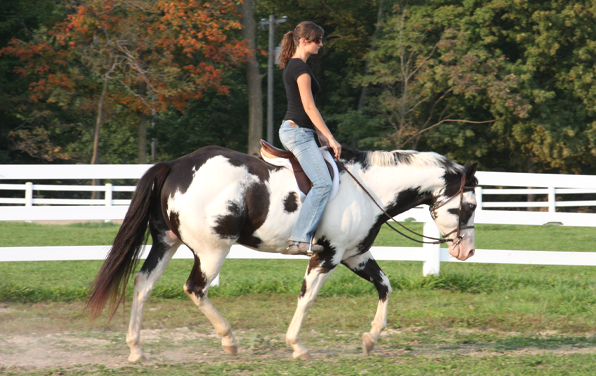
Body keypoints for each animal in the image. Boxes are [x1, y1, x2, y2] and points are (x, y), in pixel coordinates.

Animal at [87, 145, 480, 362]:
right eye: (469, 206)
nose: (468, 251)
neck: (367, 189)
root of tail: (177, 165)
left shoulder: (355, 255)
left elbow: (385, 287)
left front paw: (370, 339)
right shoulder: (328, 256)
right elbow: (307, 299)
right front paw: (297, 346)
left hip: (166, 243)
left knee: (143, 284)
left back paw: (137, 349)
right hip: (212, 251)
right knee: (196, 289)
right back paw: (229, 340)